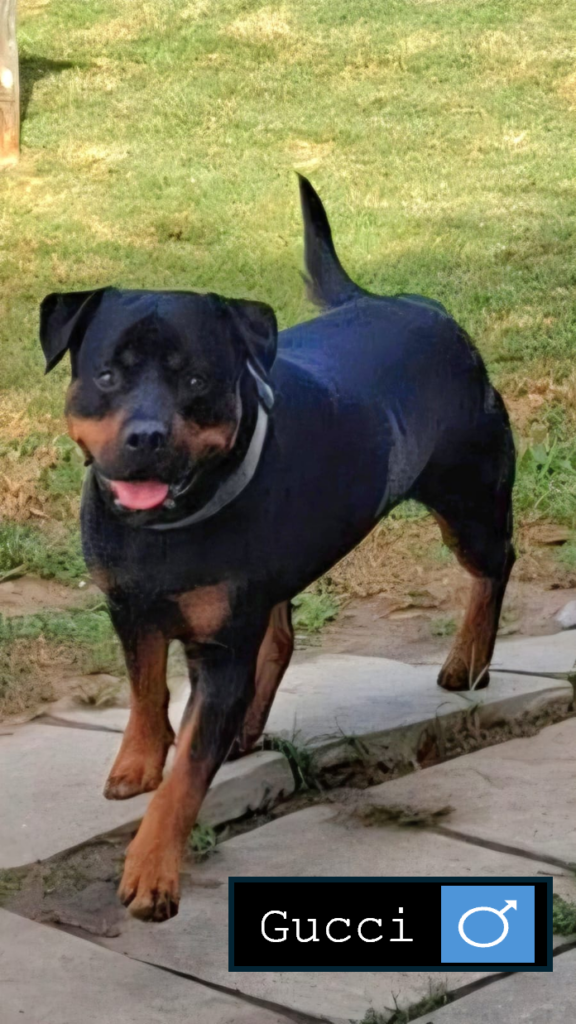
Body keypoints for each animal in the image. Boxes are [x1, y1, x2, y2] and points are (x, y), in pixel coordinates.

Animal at [39, 176, 515, 922]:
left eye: (196, 380)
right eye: (108, 376)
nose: (146, 435)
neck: (168, 528)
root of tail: (415, 305)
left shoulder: (220, 650)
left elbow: (188, 774)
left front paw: (152, 869)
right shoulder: (128, 605)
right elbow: (145, 686)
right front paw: (139, 762)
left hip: (470, 506)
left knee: (495, 567)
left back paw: (468, 660)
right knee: (283, 635)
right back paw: (250, 726)